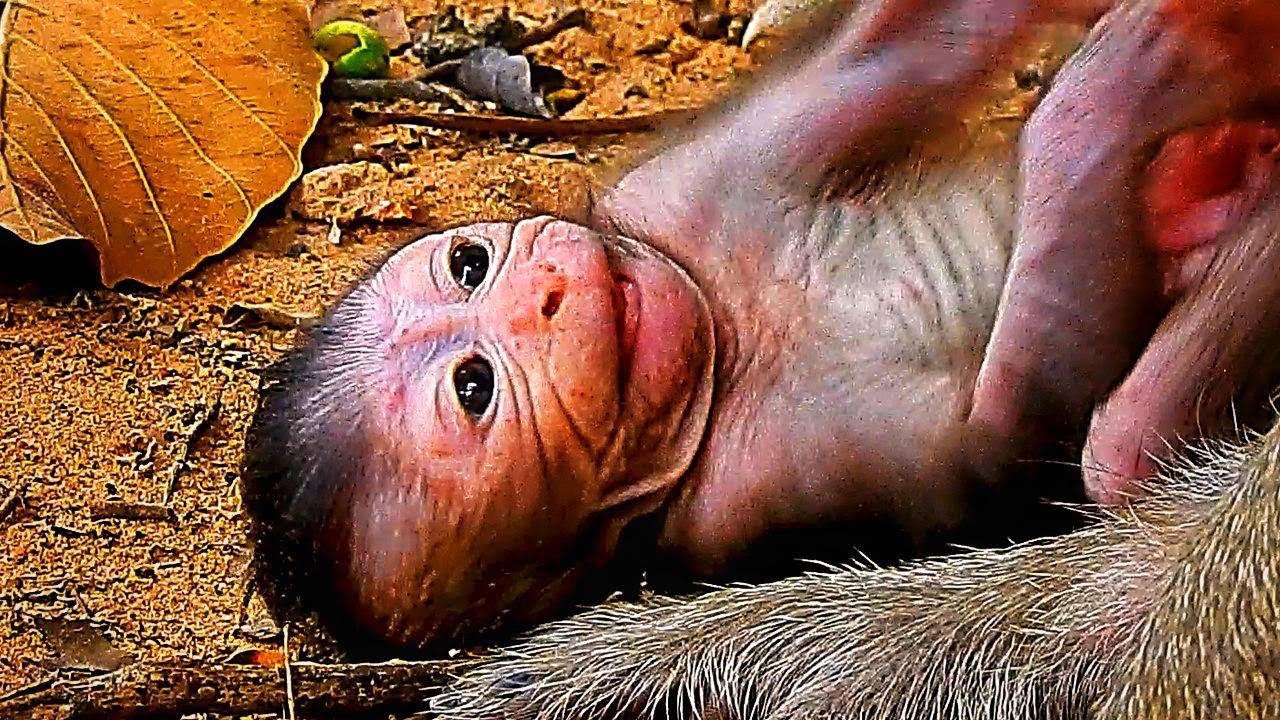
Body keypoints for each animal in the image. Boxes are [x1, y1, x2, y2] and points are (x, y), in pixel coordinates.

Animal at [240, 0, 1280, 660]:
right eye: (474, 387)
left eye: (468, 263)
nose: (547, 289)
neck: (726, 341)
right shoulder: (758, 492)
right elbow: (1015, 433)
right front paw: (1131, 78)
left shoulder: (667, 198)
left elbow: (886, 56)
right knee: (1123, 444)